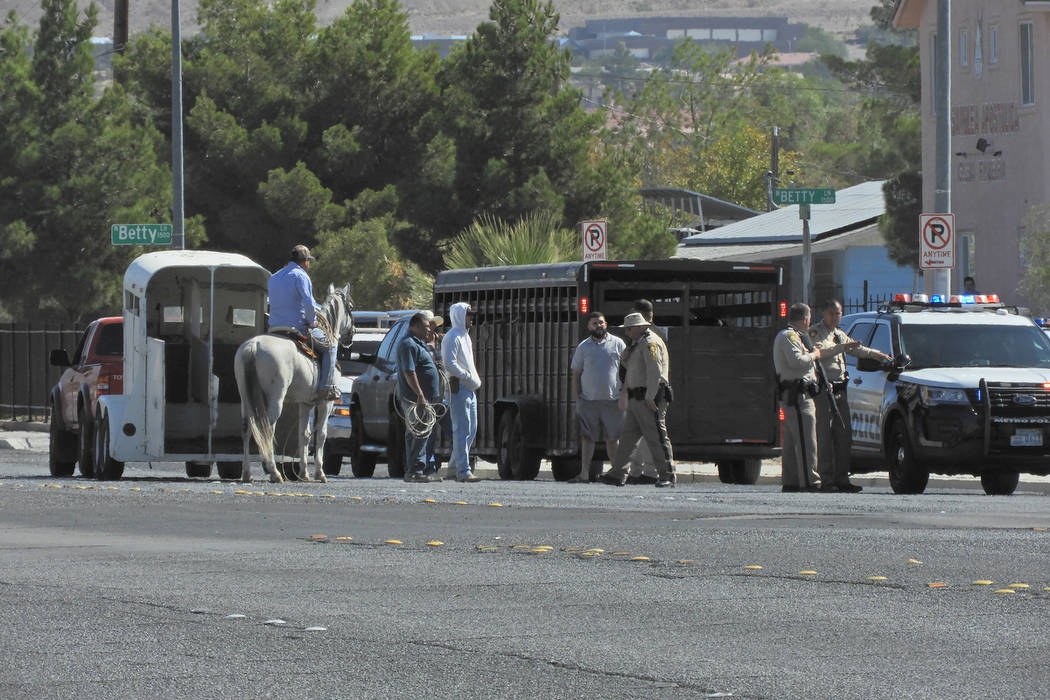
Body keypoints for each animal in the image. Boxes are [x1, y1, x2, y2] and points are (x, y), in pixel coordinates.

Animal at [236, 285, 354, 482]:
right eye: (351, 307)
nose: (352, 334)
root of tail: (254, 346)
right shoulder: (326, 403)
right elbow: (321, 435)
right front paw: (320, 473)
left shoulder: (305, 403)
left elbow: (304, 435)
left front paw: (304, 473)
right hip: (275, 398)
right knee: (268, 428)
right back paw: (275, 473)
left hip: (245, 398)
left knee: (246, 428)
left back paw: (247, 474)